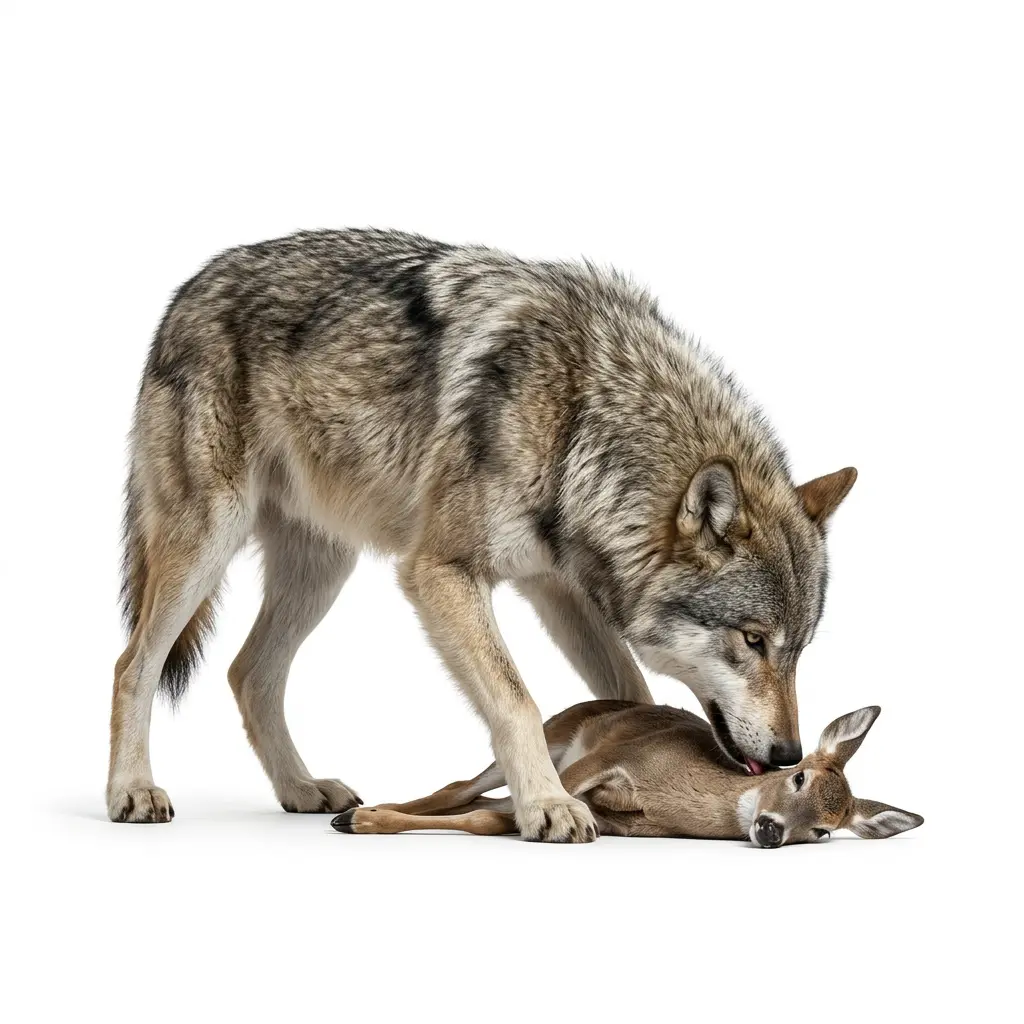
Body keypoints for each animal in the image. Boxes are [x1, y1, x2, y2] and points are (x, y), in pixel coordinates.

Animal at [109, 228, 856, 842]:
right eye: (752, 641)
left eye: (798, 650)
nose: (790, 754)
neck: (580, 418)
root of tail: (191, 283)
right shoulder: (440, 572)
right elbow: (517, 700)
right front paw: (547, 805)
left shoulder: (558, 590)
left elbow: (626, 694)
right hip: (209, 541)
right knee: (133, 663)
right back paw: (133, 791)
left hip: (322, 570)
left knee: (249, 672)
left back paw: (300, 787)